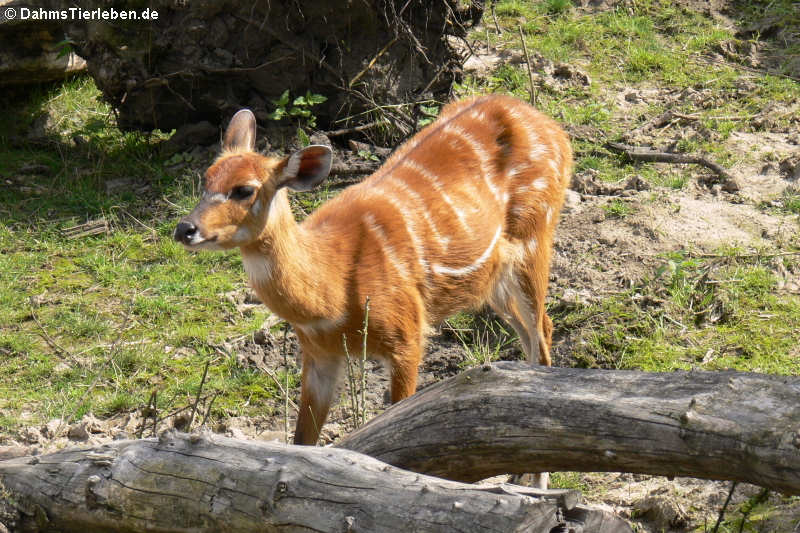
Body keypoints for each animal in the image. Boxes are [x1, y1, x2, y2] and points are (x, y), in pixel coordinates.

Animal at [176, 94, 576, 448]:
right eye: (206, 179)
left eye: (244, 190)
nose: (184, 228)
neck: (333, 290)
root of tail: (554, 129)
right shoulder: (318, 353)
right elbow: (303, 439)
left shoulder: (407, 334)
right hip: (494, 280)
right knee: (535, 332)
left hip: (535, 234)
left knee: (541, 332)